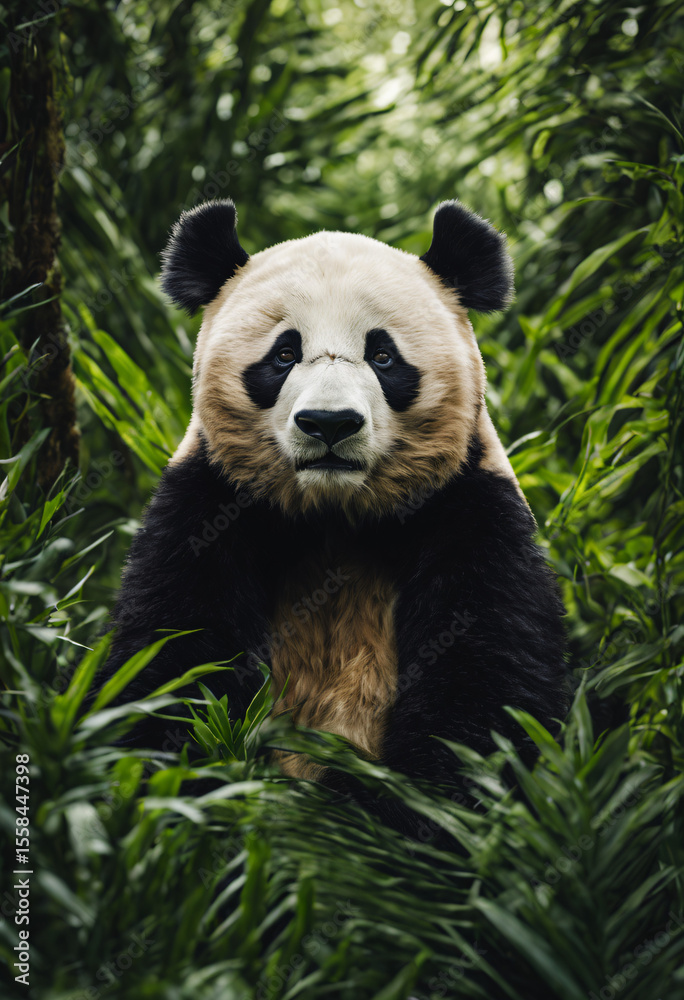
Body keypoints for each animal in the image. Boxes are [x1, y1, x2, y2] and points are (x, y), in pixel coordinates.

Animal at [106, 197, 567, 807]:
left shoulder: (468, 505)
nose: (329, 423)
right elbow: (172, 655)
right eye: (283, 353)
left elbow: (486, 683)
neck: (334, 516)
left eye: (383, 355)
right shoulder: (209, 502)